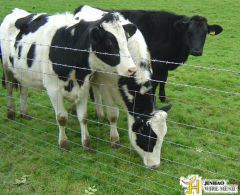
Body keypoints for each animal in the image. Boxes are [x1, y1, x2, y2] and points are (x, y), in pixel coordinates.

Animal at [0, 7, 138, 151]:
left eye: (126, 40)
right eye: (109, 42)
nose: (132, 69)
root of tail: (16, 11)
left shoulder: (83, 87)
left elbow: (83, 117)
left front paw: (86, 143)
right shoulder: (53, 89)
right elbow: (61, 118)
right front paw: (63, 143)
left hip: (23, 72)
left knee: (24, 90)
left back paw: (24, 113)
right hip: (6, 66)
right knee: (9, 89)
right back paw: (11, 113)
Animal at [74, 5, 172, 168]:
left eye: (162, 137)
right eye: (147, 137)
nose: (155, 165)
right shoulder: (107, 84)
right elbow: (113, 114)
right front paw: (115, 140)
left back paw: (100, 114)